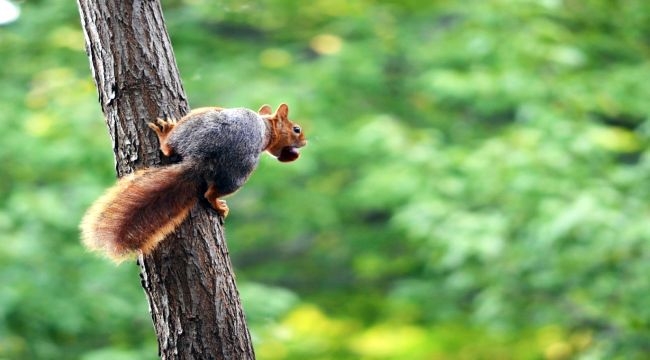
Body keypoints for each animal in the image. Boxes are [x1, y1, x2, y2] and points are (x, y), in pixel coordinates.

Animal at [79, 104, 306, 262]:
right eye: (296, 129)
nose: (305, 141)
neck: (266, 126)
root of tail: (201, 159)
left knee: (171, 152)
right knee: (208, 191)